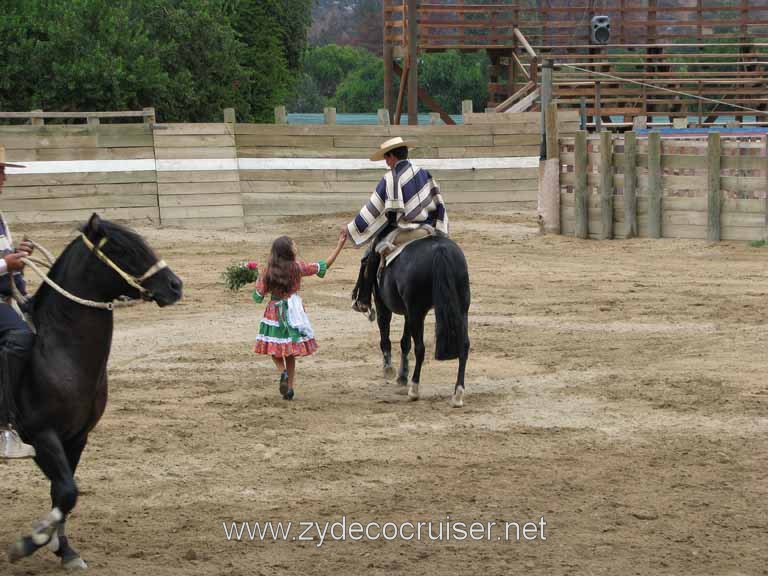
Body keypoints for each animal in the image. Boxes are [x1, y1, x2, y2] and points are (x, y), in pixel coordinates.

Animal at [8, 215, 182, 568]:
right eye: (122, 249)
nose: (175, 286)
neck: (58, 351)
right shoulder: (42, 435)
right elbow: (67, 492)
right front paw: (31, 541)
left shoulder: (76, 438)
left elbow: (63, 493)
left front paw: (64, 550)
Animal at [372, 236, 468, 408]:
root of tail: (440, 249)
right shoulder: (408, 312)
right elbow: (405, 341)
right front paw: (402, 375)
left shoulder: (383, 303)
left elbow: (386, 333)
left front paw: (389, 369)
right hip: (462, 307)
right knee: (463, 345)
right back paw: (457, 394)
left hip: (416, 311)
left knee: (420, 348)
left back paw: (414, 390)